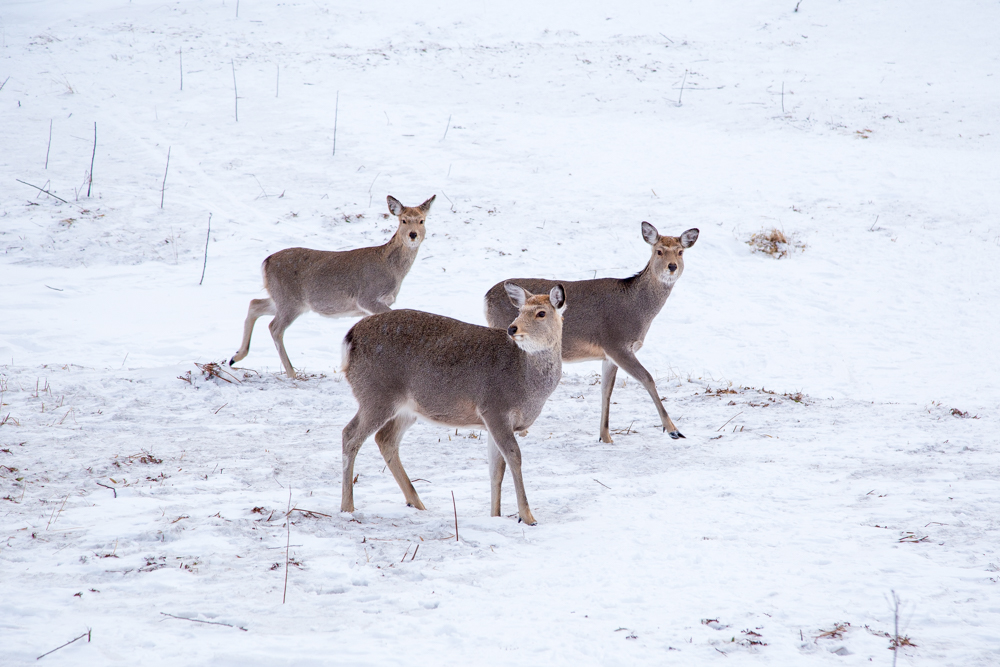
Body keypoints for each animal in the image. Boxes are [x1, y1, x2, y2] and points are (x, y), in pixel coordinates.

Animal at [229, 196, 436, 378]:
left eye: (422, 220)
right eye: (403, 220)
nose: (413, 234)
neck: (392, 270)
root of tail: (266, 262)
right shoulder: (367, 297)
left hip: (281, 299)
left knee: (255, 303)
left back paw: (235, 357)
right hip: (290, 301)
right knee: (274, 327)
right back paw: (292, 373)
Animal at [340, 284, 568, 528]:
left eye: (541, 313)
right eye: (520, 310)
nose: (512, 328)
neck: (526, 383)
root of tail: (349, 339)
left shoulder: (492, 420)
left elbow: (496, 469)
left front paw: (495, 515)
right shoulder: (495, 407)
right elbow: (514, 457)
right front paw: (527, 517)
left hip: (405, 408)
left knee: (385, 439)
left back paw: (416, 503)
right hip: (376, 394)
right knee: (350, 435)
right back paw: (347, 507)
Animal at [482, 222, 700, 446]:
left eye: (680, 252)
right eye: (659, 251)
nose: (672, 266)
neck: (638, 310)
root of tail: (485, 298)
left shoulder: (609, 354)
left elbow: (606, 391)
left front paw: (605, 436)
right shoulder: (617, 343)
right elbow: (647, 379)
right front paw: (673, 430)